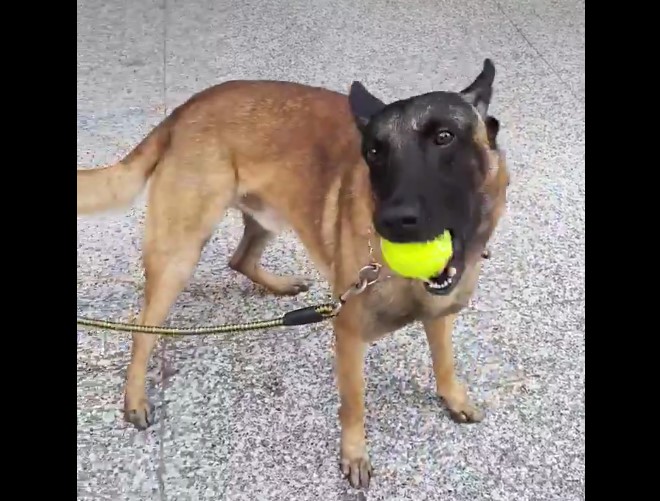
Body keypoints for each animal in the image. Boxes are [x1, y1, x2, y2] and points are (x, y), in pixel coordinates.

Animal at [77, 58, 510, 488]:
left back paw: (281, 287)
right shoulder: (349, 334)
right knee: (144, 331)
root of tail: (185, 108)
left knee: (240, 259)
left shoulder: (439, 314)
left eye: (444, 137)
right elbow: (354, 403)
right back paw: (135, 397)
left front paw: (453, 398)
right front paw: (354, 453)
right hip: (178, 255)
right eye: (374, 151)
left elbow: (445, 361)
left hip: (264, 217)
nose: (390, 221)